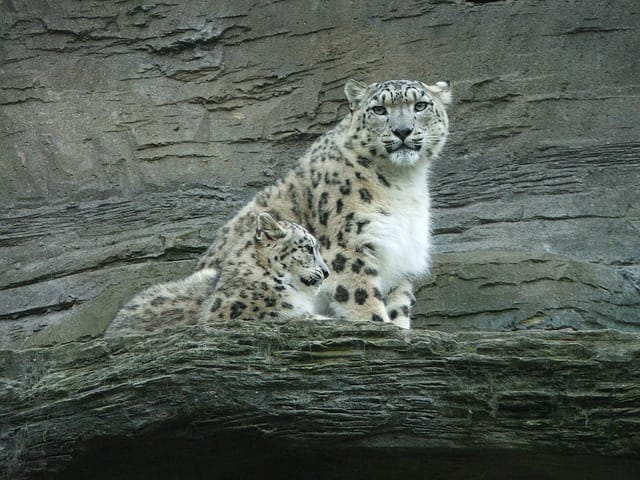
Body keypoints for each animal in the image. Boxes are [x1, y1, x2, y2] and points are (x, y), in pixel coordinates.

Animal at [198, 78, 452, 329]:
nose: (402, 131)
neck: (403, 183)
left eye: (420, 105)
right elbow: (363, 300)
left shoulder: (402, 254)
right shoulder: (348, 246)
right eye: (379, 109)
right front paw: (379, 324)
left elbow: (398, 305)